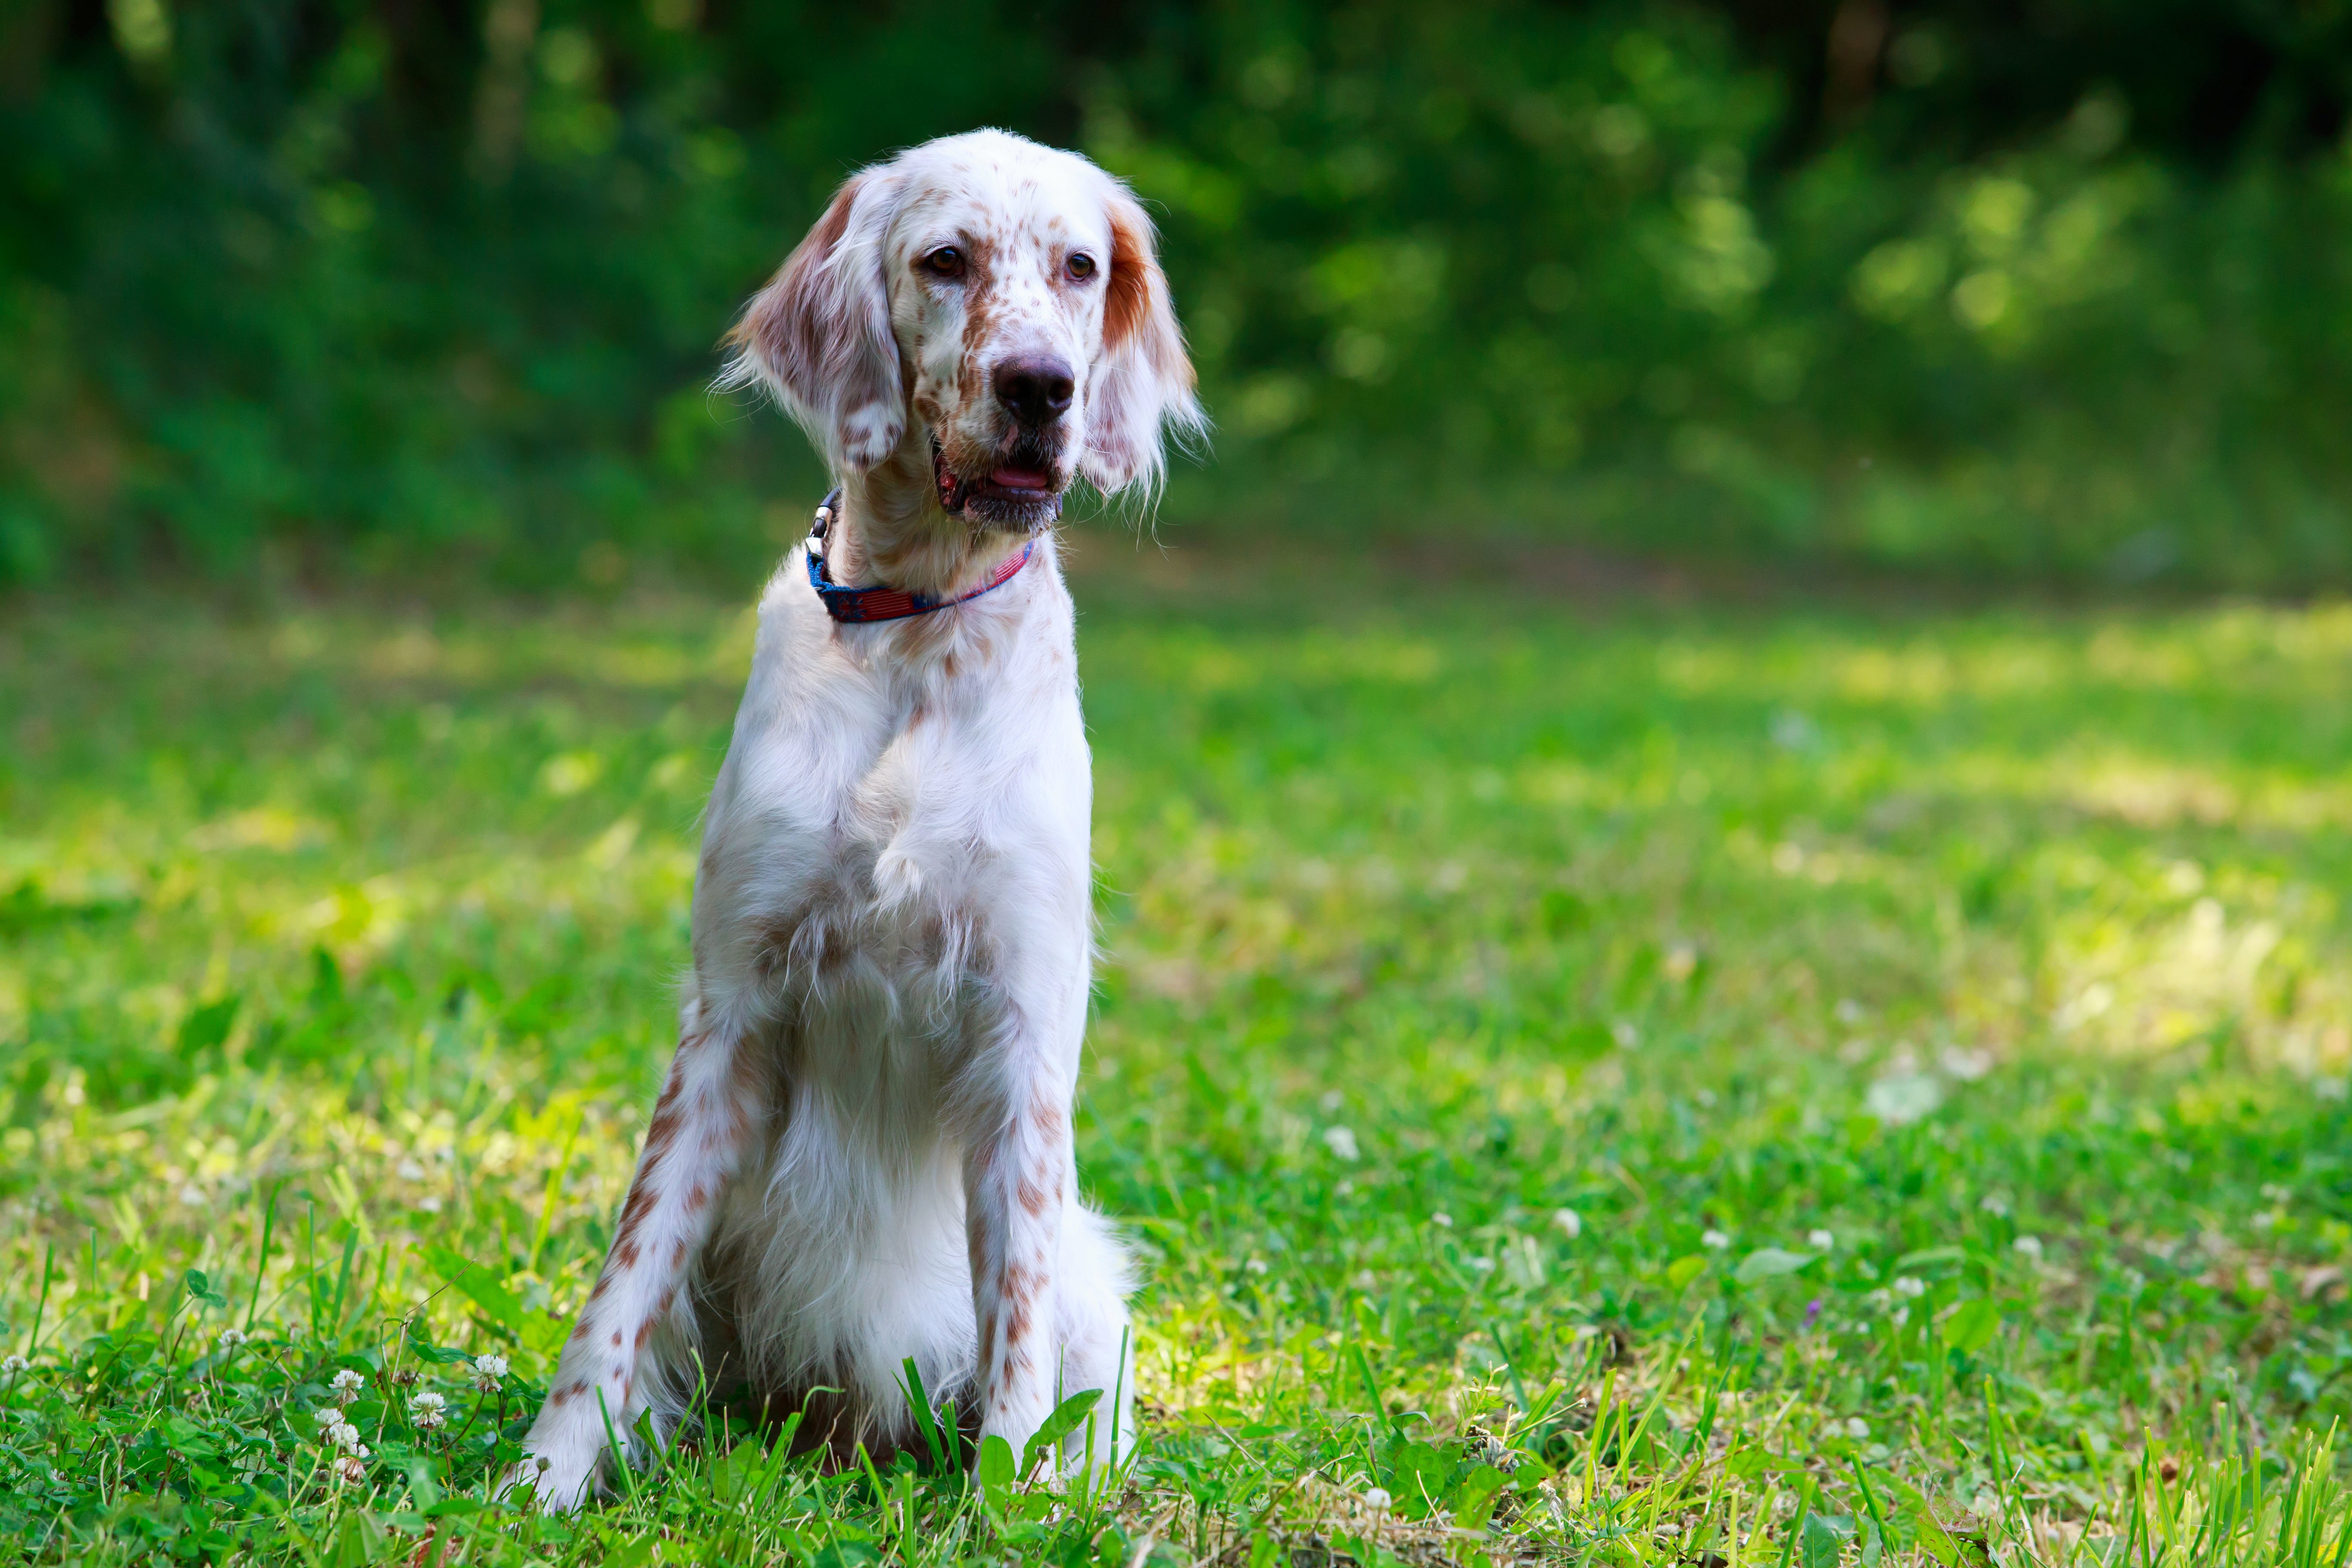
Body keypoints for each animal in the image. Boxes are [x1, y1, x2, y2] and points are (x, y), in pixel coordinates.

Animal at [517, 132, 1213, 1504]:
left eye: (1078, 266)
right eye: (945, 260)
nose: (1042, 387)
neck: (920, 630)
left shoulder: (1022, 1041)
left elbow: (1017, 1329)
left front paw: (1010, 1509)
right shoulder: (728, 1018)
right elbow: (619, 1298)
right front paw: (541, 1485)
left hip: (1093, 1282)